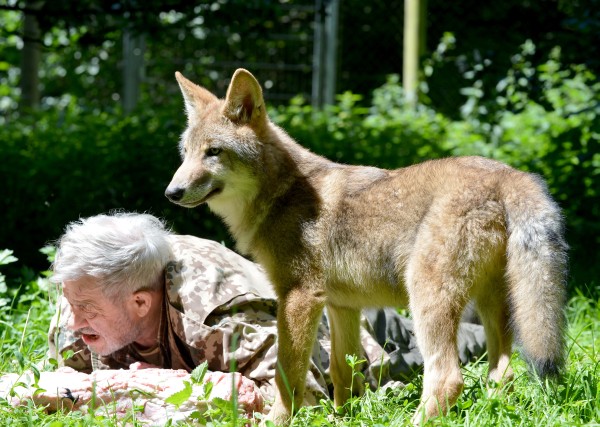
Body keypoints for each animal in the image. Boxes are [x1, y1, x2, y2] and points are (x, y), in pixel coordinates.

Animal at [164, 69, 568, 424]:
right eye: (185, 152)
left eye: (214, 152)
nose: (171, 193)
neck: (282, 195)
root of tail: (509, 175)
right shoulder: (341, 306)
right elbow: (343, 373)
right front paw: (341, 419)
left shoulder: (298, 298)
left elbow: (287, 376)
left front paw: (278, 421)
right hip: (491, 307)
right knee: (502, 374)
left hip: (426, 301)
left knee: (447, 378)